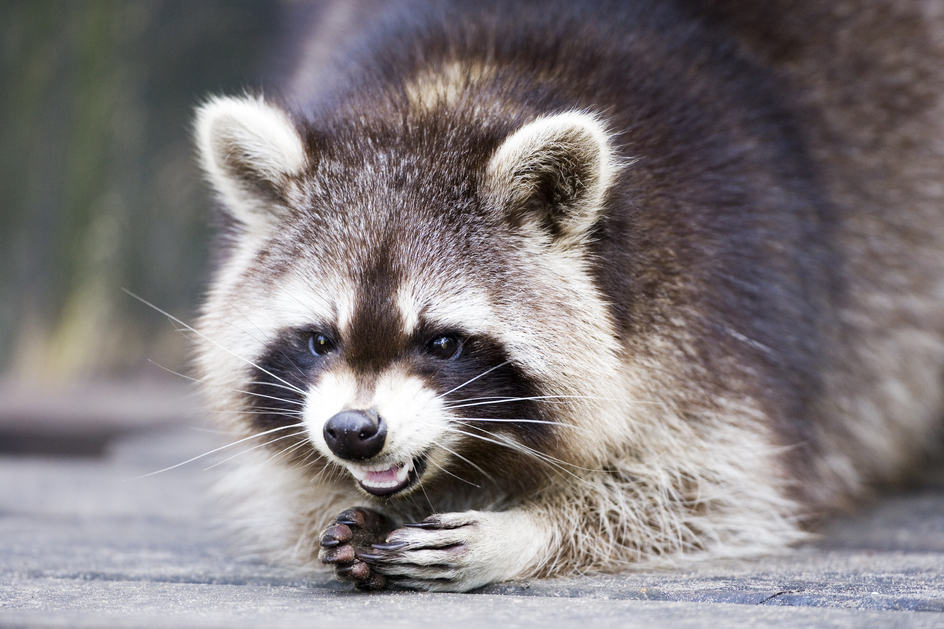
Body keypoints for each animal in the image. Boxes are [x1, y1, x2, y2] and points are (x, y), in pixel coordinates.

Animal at [190, 0, 944, 592]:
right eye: (321, 339)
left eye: (443, 342)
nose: (352, 431)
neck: (449, 91)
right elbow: (289, 489)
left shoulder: (725, 295)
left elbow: (711, 490)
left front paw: (522, 531)